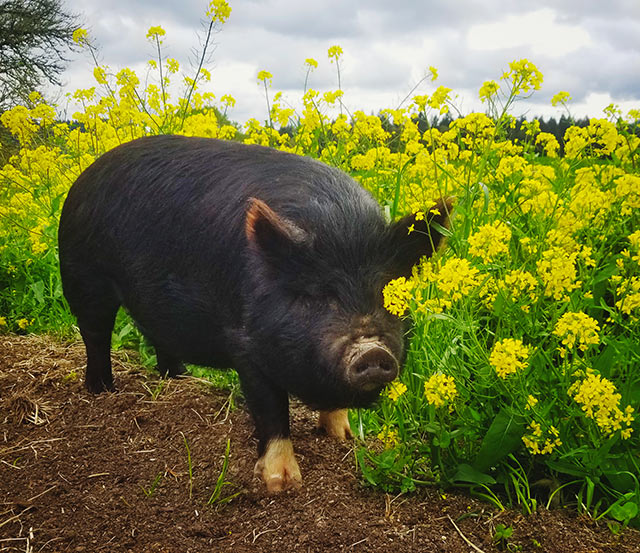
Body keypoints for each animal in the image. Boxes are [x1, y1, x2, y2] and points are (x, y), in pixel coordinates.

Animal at [60, 135, 450, 492]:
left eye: (389, 293)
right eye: (314, 295)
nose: (371, 350)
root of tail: (86, 175)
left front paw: (346, 438)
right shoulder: (245, 343)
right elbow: (270, 409)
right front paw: (282, 484)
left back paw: (180, 378)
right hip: (83, 274)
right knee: (95, 333)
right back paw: (102, 391)